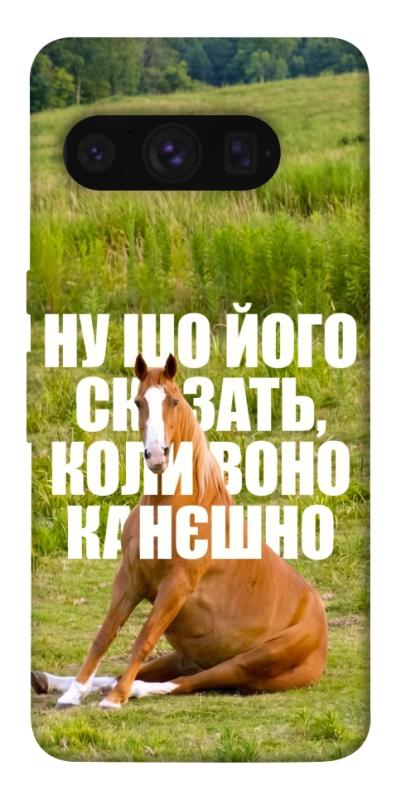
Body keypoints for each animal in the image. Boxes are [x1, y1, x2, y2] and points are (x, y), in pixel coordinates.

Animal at [31, 353, 328, 709]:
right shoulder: (130, 578)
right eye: (138, 402)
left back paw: (129, 690)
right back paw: (53, 681)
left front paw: (115, 700)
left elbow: (143, 639)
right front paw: (74, 692)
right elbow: (105, 635)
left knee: (190, 682)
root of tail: (320, 632)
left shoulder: (176, 586)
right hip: (187, 655)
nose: (157, 456)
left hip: (248, 663)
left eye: (173, 401)